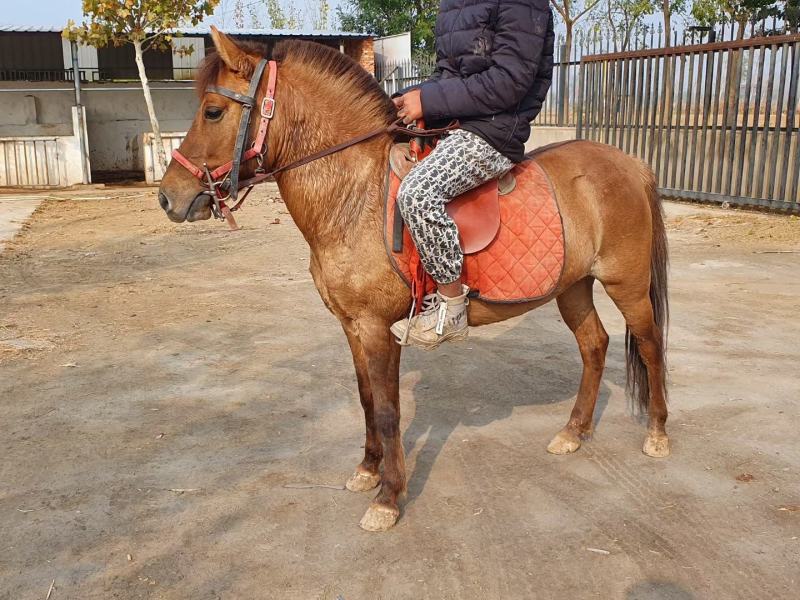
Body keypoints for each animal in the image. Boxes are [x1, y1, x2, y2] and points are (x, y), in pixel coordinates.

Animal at [158, 28, 670, 532]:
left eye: (213, 110)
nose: (168, 197)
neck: (353, 195)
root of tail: (632, 164)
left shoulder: (376, 327)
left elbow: (388, 410)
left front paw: (388, 498)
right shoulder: (351, 326)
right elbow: (366, 398)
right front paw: (367, 470)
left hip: (626, 284)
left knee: (650, 345)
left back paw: (658, 433)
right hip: (573, 287)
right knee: (594, 345)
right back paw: (573, 432)